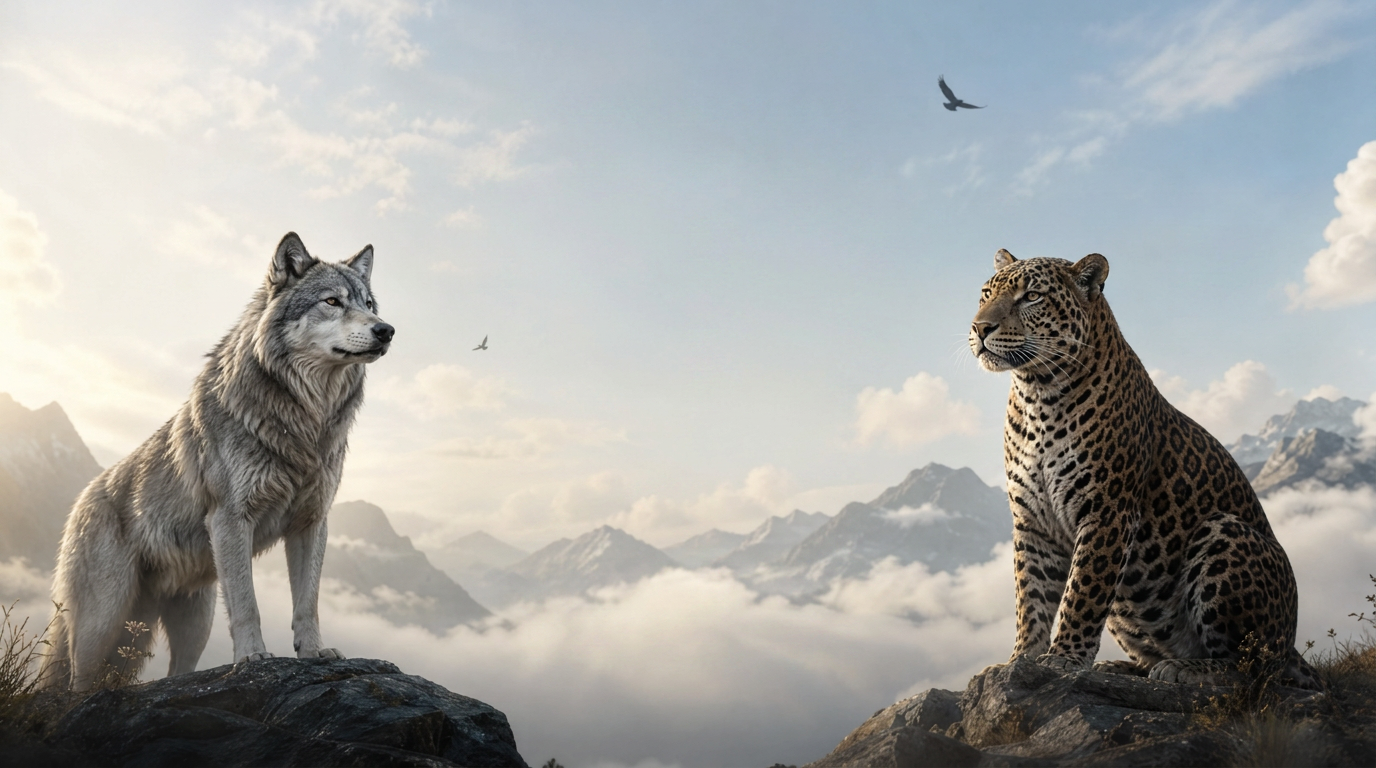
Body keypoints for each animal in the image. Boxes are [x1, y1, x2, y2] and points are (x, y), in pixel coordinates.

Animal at [40, 232, 394, 690]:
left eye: (369, 304)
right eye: (332, 301)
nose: (386, 330)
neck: (305, 418)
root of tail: (82, 498)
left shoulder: (311, 523)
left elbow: (307, 603)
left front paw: (315, 654)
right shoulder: (231, 518)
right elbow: (247, 604)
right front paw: (253, 658)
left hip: (191, 621)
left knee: (178, 671)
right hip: (103, 624)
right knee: (77, 686)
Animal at [968, 248, 1319, 689]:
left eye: (1031, 297)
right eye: (985, 294)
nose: (980, 327)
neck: (1037, 395)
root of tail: (1291, 644)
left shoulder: (1107, 512)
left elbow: (1082, 592)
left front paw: (1063, 659)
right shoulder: (1033, 520)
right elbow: (1032, 597)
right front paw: (1020, 660)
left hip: (1223, 532)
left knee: (1251, 669)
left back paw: (1185, 669)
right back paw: (1122, 667)